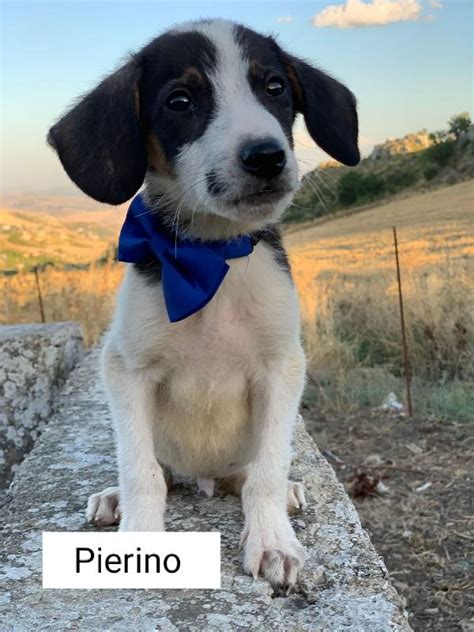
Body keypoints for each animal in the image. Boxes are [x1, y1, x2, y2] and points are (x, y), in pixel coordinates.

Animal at [49, 19, 360, 592]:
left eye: (275, 87)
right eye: (181, 100)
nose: (267, 156)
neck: (211, 258)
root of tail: (206, 478)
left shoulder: (282, 367)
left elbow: (268, 470)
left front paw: (273, 540)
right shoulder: (125, 369)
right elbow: (141, 471)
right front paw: (138, 535)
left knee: (253, 472)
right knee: (162, 471)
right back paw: (114, 499)